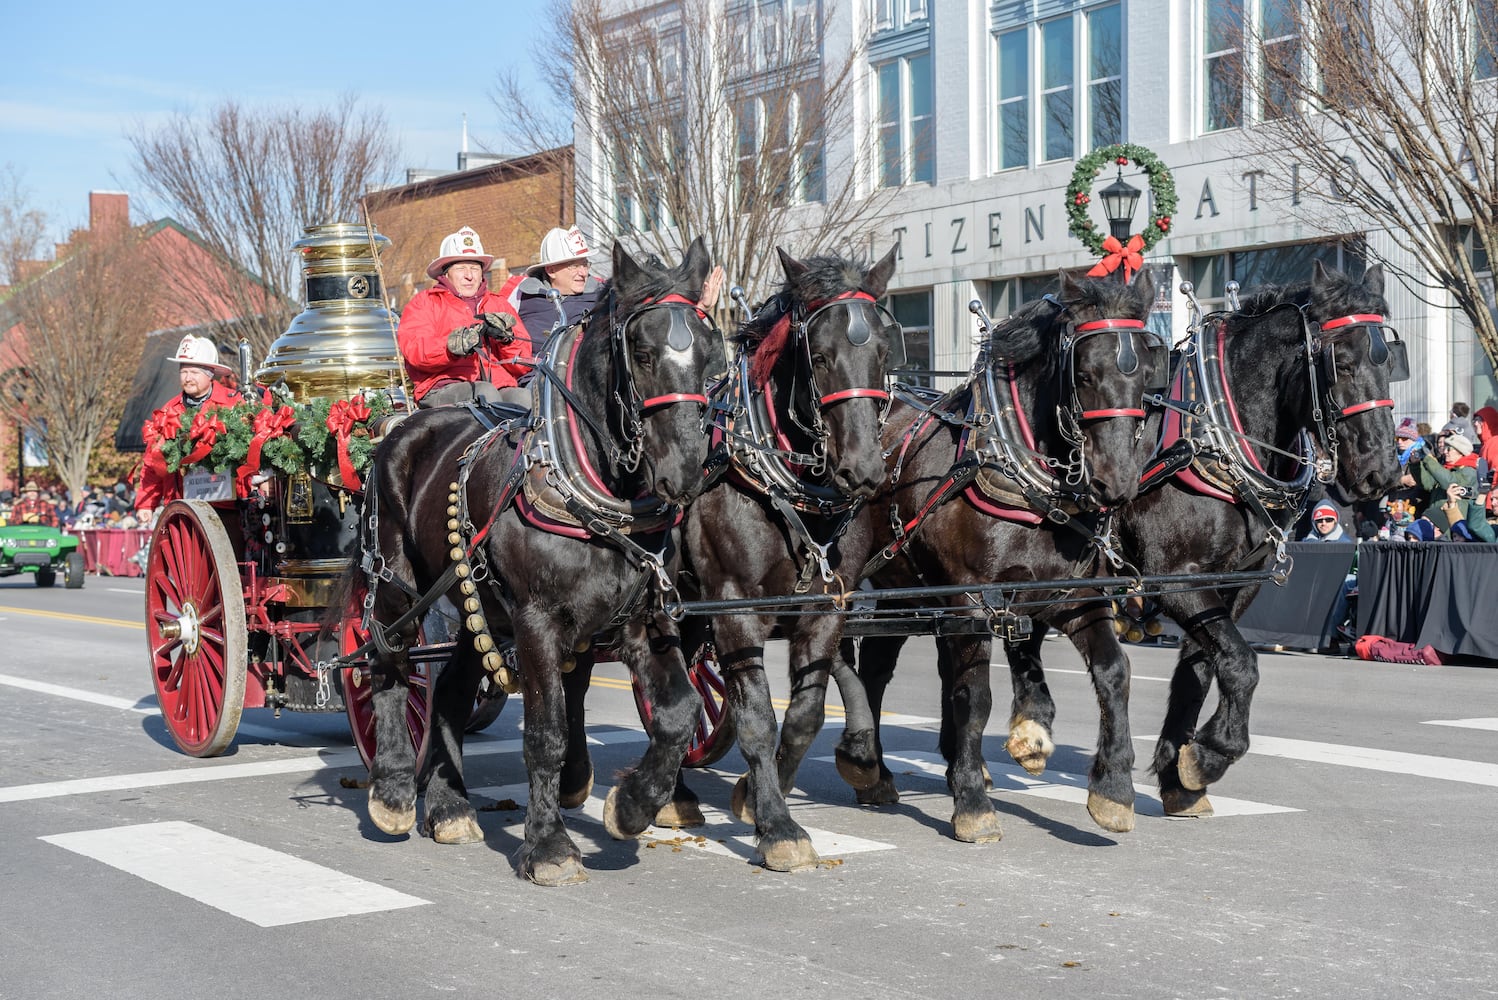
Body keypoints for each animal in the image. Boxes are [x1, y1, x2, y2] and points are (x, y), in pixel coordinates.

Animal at [359, 239, 716, 880]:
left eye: (708, 352)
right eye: (642, 352)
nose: (685, 470)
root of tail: (403, 427)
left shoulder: (644, 620)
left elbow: (679, 712)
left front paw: (632, 806)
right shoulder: (537, 622)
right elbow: (545, 732)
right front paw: (549, 845)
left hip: (473, 601)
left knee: (450, 691)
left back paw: (449, 808)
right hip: (398, 585)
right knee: (390, 666)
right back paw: (395, 791)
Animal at [680, 245, 898, 868]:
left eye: (883, 353)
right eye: (819, 358)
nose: (863, 470)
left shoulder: (826, 607)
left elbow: (805, 715)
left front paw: (754, 795)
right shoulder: (732, 608)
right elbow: (756, 718)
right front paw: (777, 826)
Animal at [850, 267, 1162, 844]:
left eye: (1148, 376)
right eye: (1085, 374)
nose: (1117, 482)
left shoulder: (1074, 595)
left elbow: (1115, 671)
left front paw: (1112, 791)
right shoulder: (972, 600)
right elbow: (975, 698)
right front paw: (972, 804)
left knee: (881, 663)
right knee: (874, 670)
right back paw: (870, 768)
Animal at [1006, 261, 1402, 814]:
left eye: (1390, 361)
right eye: (1340, 363)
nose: (1380, 472)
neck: (1214, 435)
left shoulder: (1234, 585)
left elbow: (1201, 670)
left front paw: (1180, 774)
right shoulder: (1176, 579)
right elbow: (1241, 664)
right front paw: (1212, 754)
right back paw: (1029, 731)